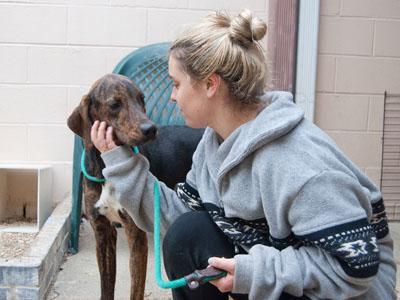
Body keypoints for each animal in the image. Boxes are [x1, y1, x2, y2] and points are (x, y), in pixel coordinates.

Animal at [67, 73, 203, 300]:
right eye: (114, 104)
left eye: (142, 99)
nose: (151, 129)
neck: (108, 165)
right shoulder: (103, 231)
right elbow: (106, 285)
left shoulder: (136, 233)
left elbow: (135, 289)